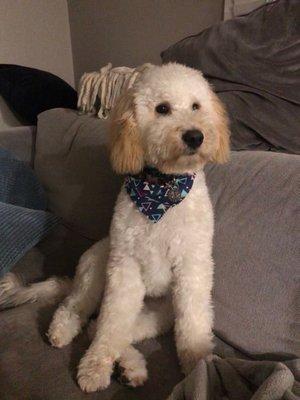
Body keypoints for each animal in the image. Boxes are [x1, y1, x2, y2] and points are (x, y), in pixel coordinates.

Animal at [1, 64, 230, 392]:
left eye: (197, 106)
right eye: (162, 108)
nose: (195, 136)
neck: (162, 189)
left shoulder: (192, 267)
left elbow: (193, 321)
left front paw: (199, 364)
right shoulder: (125, 269)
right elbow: (111, 324)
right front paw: (95, 366)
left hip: (159, 313)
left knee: (109, 328)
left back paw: (132, 368)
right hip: (97, 269)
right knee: (82, 313)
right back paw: (65, 332)